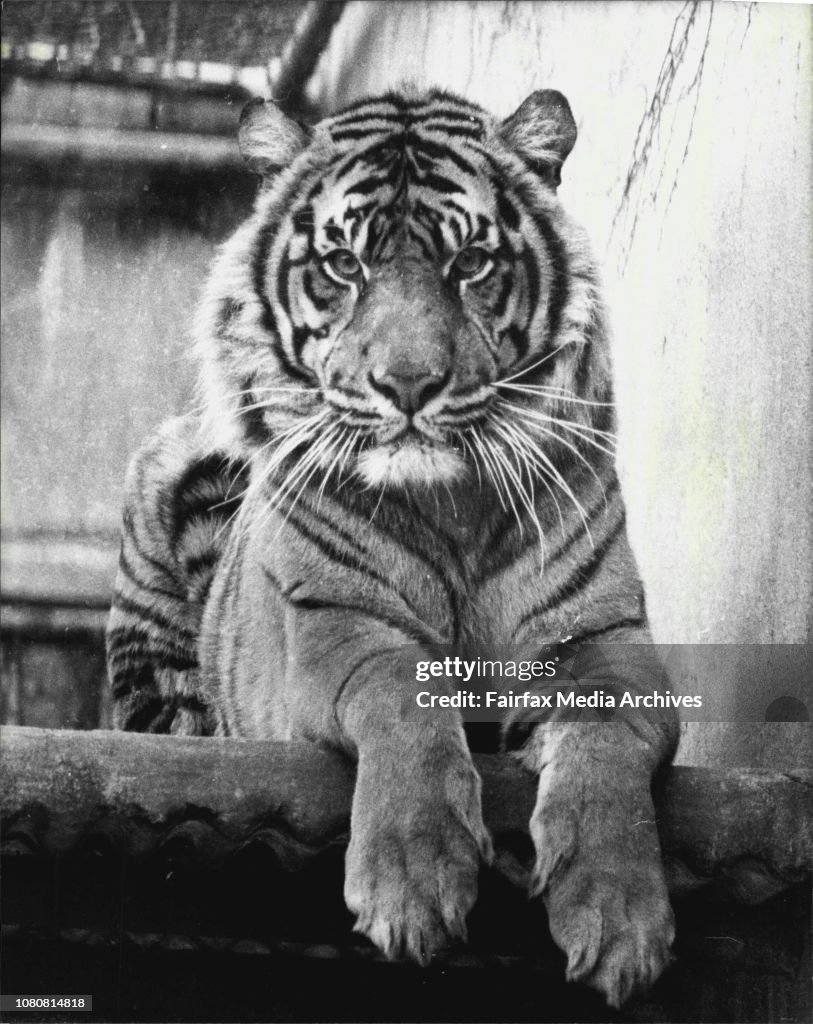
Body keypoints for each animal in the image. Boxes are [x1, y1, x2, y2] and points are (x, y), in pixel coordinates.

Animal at [106, 87, 677, 1007]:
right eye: (343, 266)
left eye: (470, 264)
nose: (407, 386)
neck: (451, 504)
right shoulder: (338, 630)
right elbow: (404, 697)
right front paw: (412, 883)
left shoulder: (603, 639)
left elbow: (604, 747)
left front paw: (618, 918)